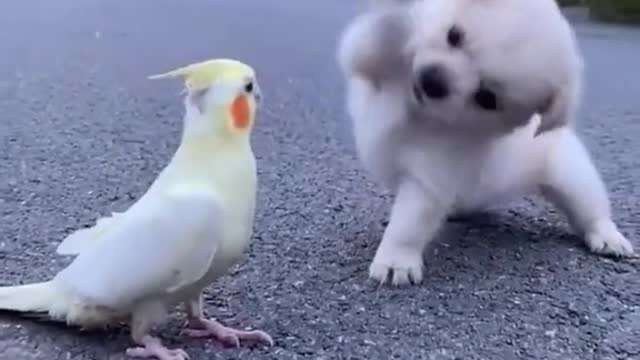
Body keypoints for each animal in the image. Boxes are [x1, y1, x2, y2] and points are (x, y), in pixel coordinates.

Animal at [338, 0, 632, 286]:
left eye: (486, 98)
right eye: (454, 35)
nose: (432, 81)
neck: (419, 112)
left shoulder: (429, 179)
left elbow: (407, 224)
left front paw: (395, 261)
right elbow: (362, 47)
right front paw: (394, 29)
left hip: (572, 178)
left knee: (590, 209)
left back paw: (608, 237)